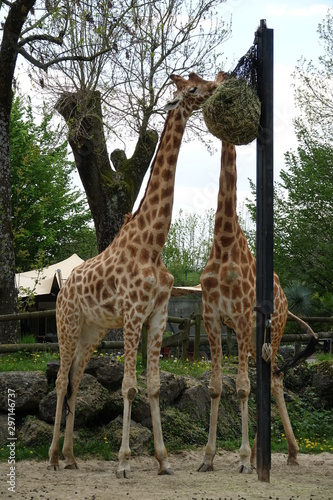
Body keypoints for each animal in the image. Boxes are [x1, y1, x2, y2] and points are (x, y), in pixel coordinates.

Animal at [47, 69, 223, 476]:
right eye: (192, 87)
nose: (215, 88)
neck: (153, 242)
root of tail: (62, 288)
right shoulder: (131, 314)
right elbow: (128, 385)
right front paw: (124, 462)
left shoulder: (157, 314)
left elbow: (154, 385)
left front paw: (163, 460)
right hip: (67, 324)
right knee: (61, 381)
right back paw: (52, 458)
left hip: (92, 331)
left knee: (76, 379)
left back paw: (71, 456)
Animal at [197, 140, 316, 472]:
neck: (224, 244)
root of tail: (287, 302)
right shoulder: (212, 318)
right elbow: (216, 386)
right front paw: (208, 457)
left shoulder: (238, 317)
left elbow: (242, 387)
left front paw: (242, 459)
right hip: (253, 337)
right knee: (274, 377)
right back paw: (286, 452)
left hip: (271, 332)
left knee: (271, 378)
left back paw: (269, 455)